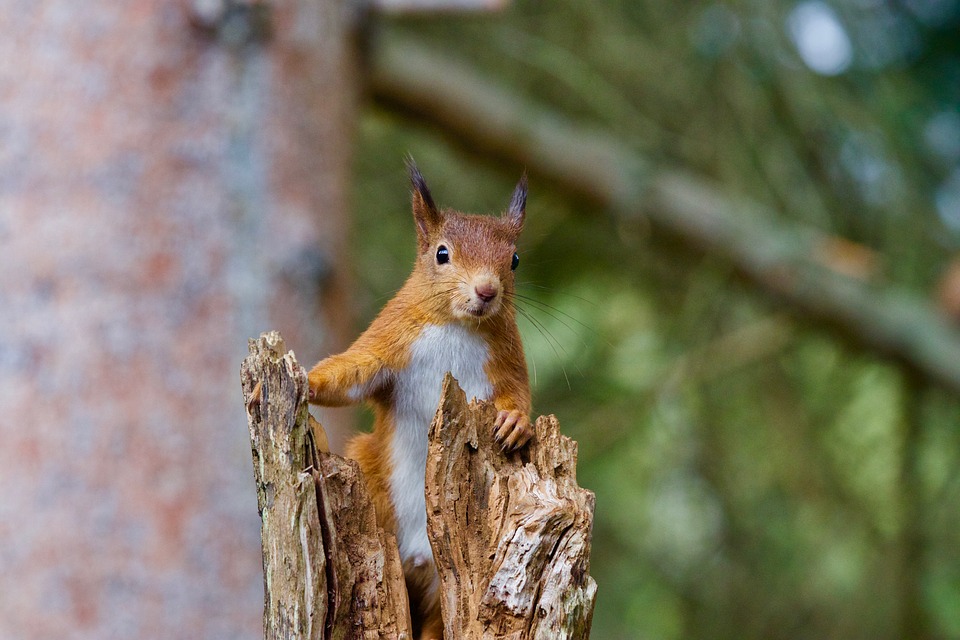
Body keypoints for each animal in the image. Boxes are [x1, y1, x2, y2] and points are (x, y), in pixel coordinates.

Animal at [308, 161, 532, 640]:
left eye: (515, 260)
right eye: (442, 254)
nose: (487, 291)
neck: (456, 324)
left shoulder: (507, 361)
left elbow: (519, 394)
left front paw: (515, 423)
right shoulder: (389, 340)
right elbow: (352, 373)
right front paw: (307, 379)